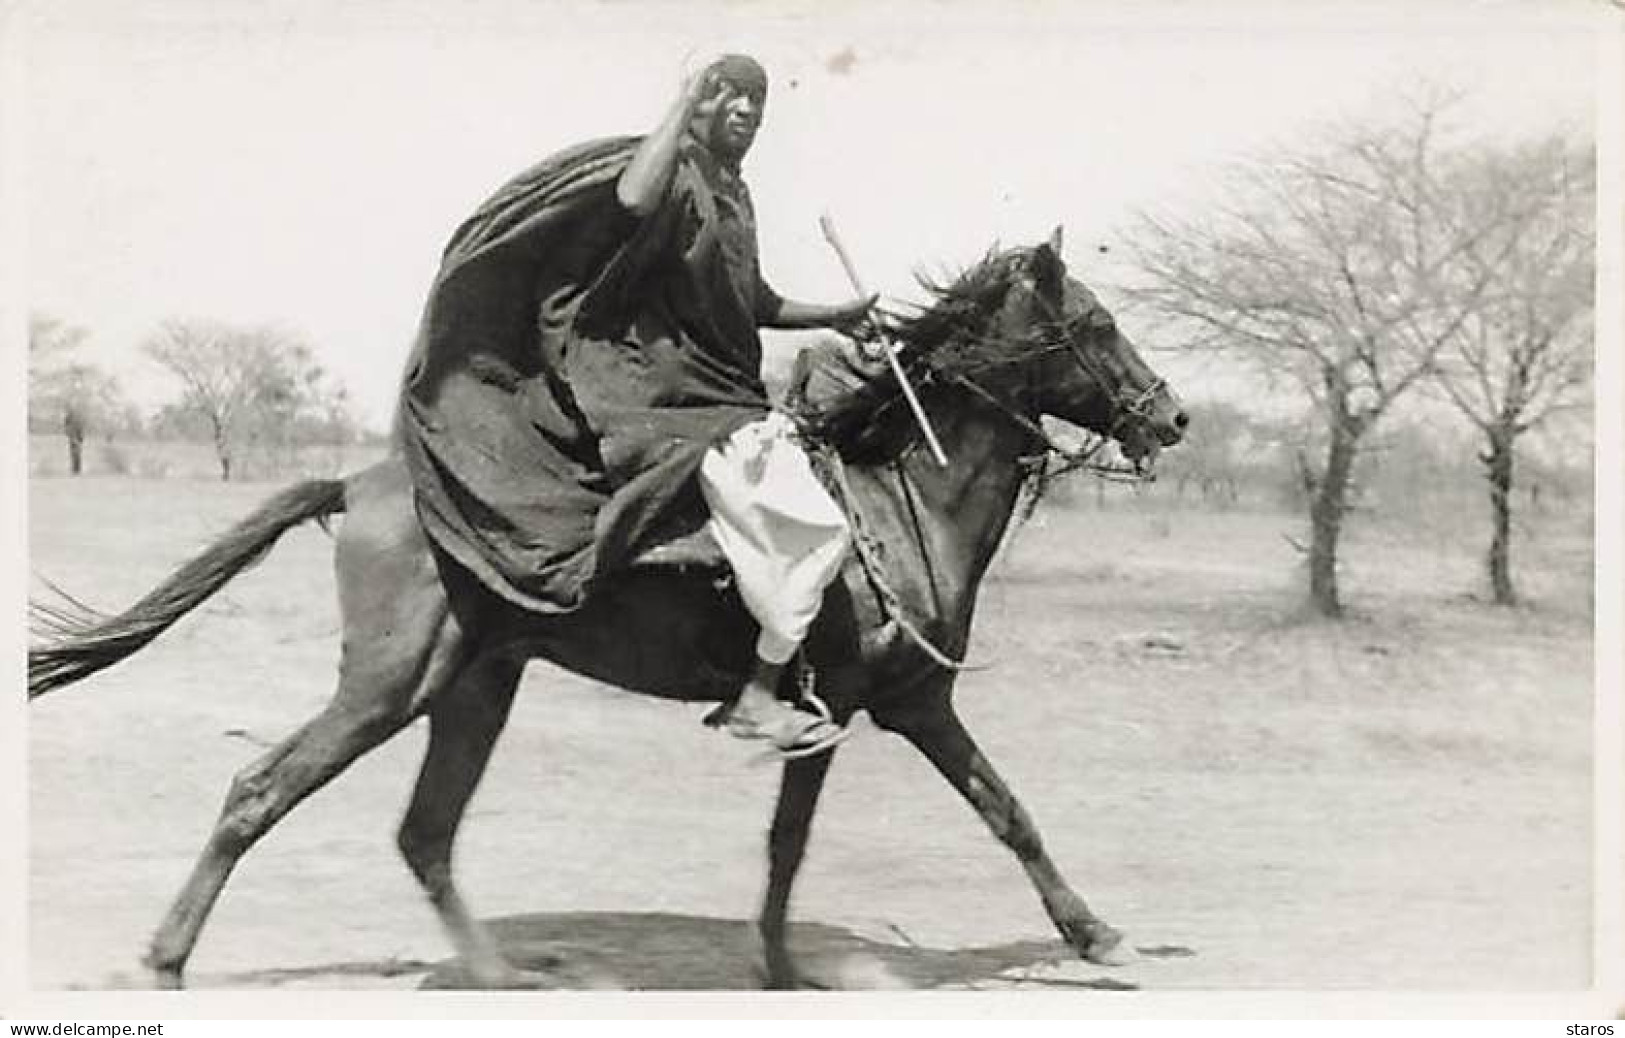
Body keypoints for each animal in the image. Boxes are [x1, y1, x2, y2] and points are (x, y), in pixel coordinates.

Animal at [31, 230, 1189, 994]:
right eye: (1094, 325)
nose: (1171, 417)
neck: (898, 494)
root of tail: (359, 485)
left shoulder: (913, 705)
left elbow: (1000, 811)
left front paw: (1092, 935)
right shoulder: (850, 707)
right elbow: (805, 841)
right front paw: (782, 968)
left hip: (474, 689)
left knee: (424, 832)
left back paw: (500, 974)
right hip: (389, 686)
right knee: (259, 789)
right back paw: (165, 959)